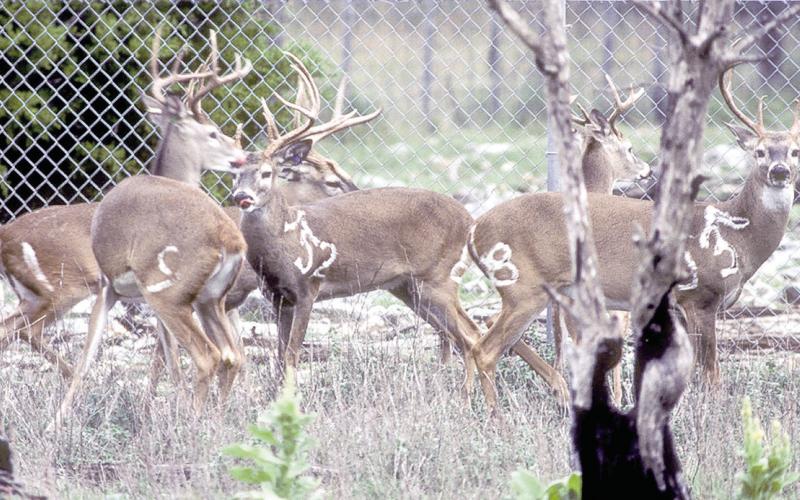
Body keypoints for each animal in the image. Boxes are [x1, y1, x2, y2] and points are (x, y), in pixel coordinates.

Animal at [231, 54, 484, 391]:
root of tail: (470, 219)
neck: (285, 243)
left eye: (266, 173)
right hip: (408, 286)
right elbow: (279, 357)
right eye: (234, 173)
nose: (241, 196)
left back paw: (468, 395)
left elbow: (292, 354)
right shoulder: (277, 297)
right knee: (454, 334)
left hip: (439, 277)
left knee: (470, 335)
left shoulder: (309, 287)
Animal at [467, 66, 798, 413]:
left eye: (794, 151)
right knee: (486, 349)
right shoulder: (699, 296)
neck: (736, 233)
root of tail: (474, 232)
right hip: (522, 287)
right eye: (759, 152)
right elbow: (711, 375)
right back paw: (498, 417)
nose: (779, 171)